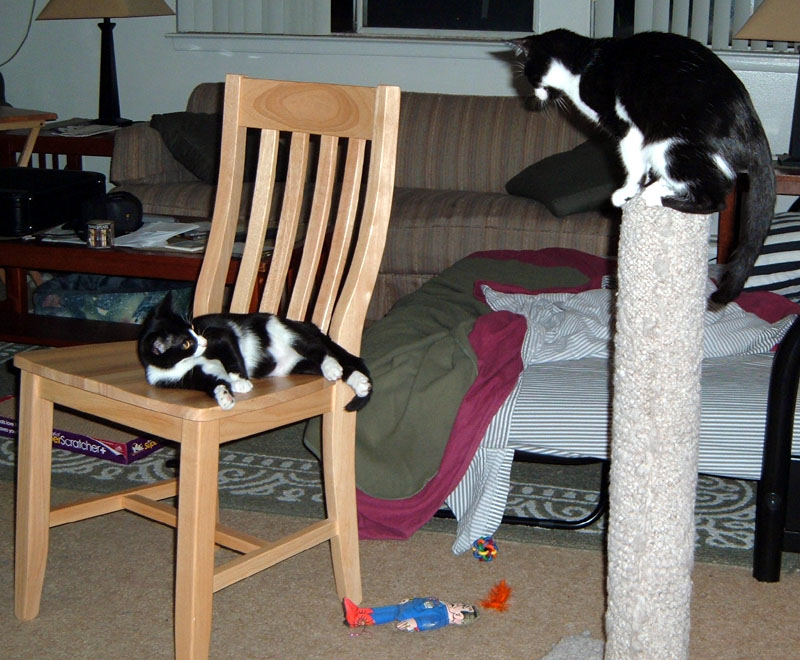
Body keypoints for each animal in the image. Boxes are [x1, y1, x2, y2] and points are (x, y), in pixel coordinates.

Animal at [137, 293, 372, 411]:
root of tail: (308, 325)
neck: (184, 363)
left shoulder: (220, 336)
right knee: (342, 364)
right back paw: (359, 382)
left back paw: (332, 367)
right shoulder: (186, 378)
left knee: (320, 350)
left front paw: (241, 382)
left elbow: (232, 356)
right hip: (297, 365)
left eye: (193, 328)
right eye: (186, 343)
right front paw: (224, 397)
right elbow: (213, 383)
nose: (202, 341)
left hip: (285, 331)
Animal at [509, 29, 776, 304]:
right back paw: (658, 188)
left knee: (716, 197)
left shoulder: (628, 128)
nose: (534, 97)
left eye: (530, 75)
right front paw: (640, 189)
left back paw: (658, 198)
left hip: (669, 145)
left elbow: (633, 165)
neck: (585, 64)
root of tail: (753, 128)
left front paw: (627, 193)